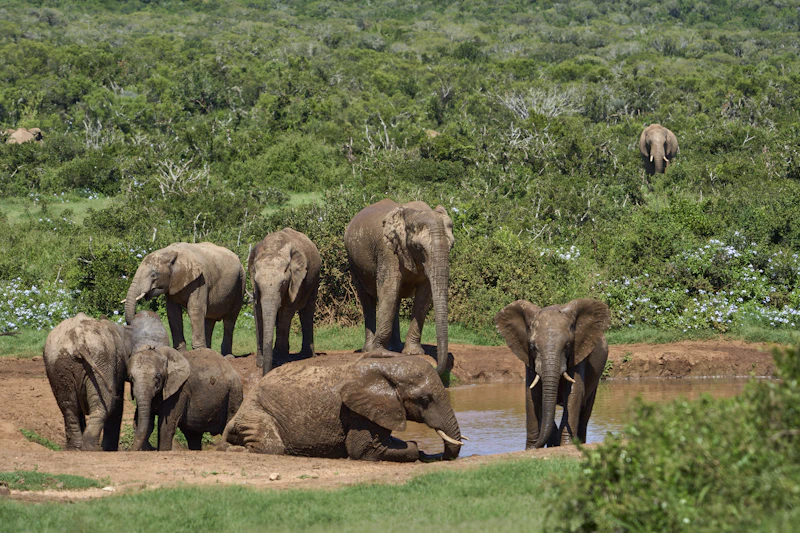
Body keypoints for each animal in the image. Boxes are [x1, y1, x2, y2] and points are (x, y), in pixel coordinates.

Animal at [43, 311, 169, 451]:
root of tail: (79, 341)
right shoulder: (117, 365)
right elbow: (117, 405)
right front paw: (109, 449)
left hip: (60, 362)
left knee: (69, 406)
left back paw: (75, 448)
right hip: (100, 358)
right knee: (104, 403)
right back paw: (90, 448)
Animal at [222, 353, 463, 461]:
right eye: (425, 399)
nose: (439, 456)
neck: (386, 367)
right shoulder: (358, 413)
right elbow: (363, 450)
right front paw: (417, 450)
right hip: (257, 414)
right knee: (271, 447)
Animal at [249, 228, 321, 375]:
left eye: (283, 283)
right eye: (257, 283)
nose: (265, 374)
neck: (273, 248)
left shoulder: (295, 280)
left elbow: (286, 312)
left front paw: (279, 361)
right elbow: (258, 312)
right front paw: (260, 363)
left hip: (315, 279)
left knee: (307, 312)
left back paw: (307, 355)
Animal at [344, 199, 454, 375]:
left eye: (452, 246)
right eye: (418, 248)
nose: (434, 368)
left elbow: (424, 297)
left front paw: (413, 353)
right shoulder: (388, 251)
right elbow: (388, 290)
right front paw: (379, 352)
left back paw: (394, 347)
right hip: (353, 262)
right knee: (367, 300)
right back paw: (369, 349)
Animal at [494, 299, 610, 449]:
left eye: (568, 345)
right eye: (533, 347)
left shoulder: (578, 354)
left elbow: (574, 393)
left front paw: (566, 445)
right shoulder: (529, 359)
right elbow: (532, 395)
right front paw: (530, 449)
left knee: (585, 411)